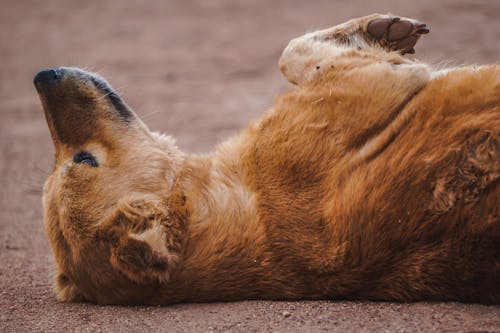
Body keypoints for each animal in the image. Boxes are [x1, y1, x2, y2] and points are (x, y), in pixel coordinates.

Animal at [33, 13, 498, 304]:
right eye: (85, 159)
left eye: (68, 164)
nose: (41, 75)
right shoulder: (362, 81)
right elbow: (294, 54)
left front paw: (382, 29)